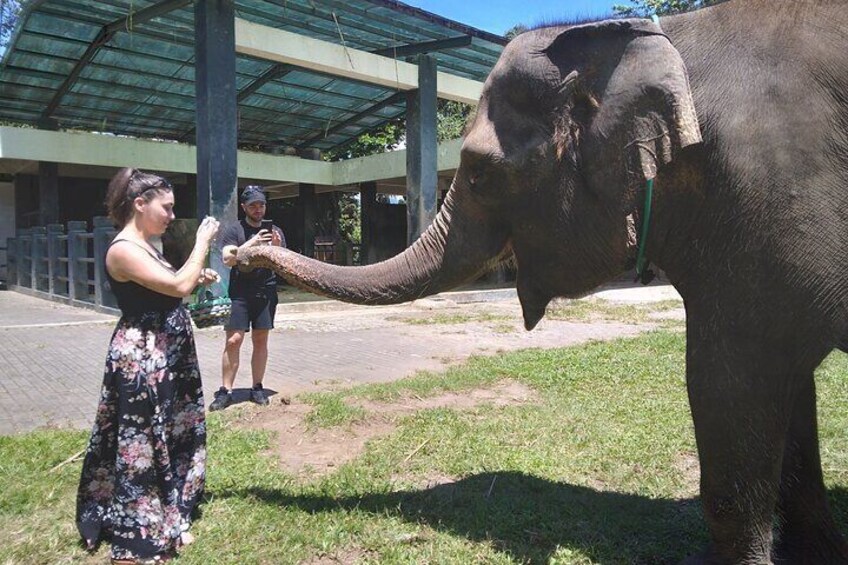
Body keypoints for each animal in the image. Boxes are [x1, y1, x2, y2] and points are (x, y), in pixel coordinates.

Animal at [238, 1, 848, 560]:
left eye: (480, 173)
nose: (248, 249)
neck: (659, 36)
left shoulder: (765, 204)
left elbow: (732, 385)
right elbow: (791, 393)